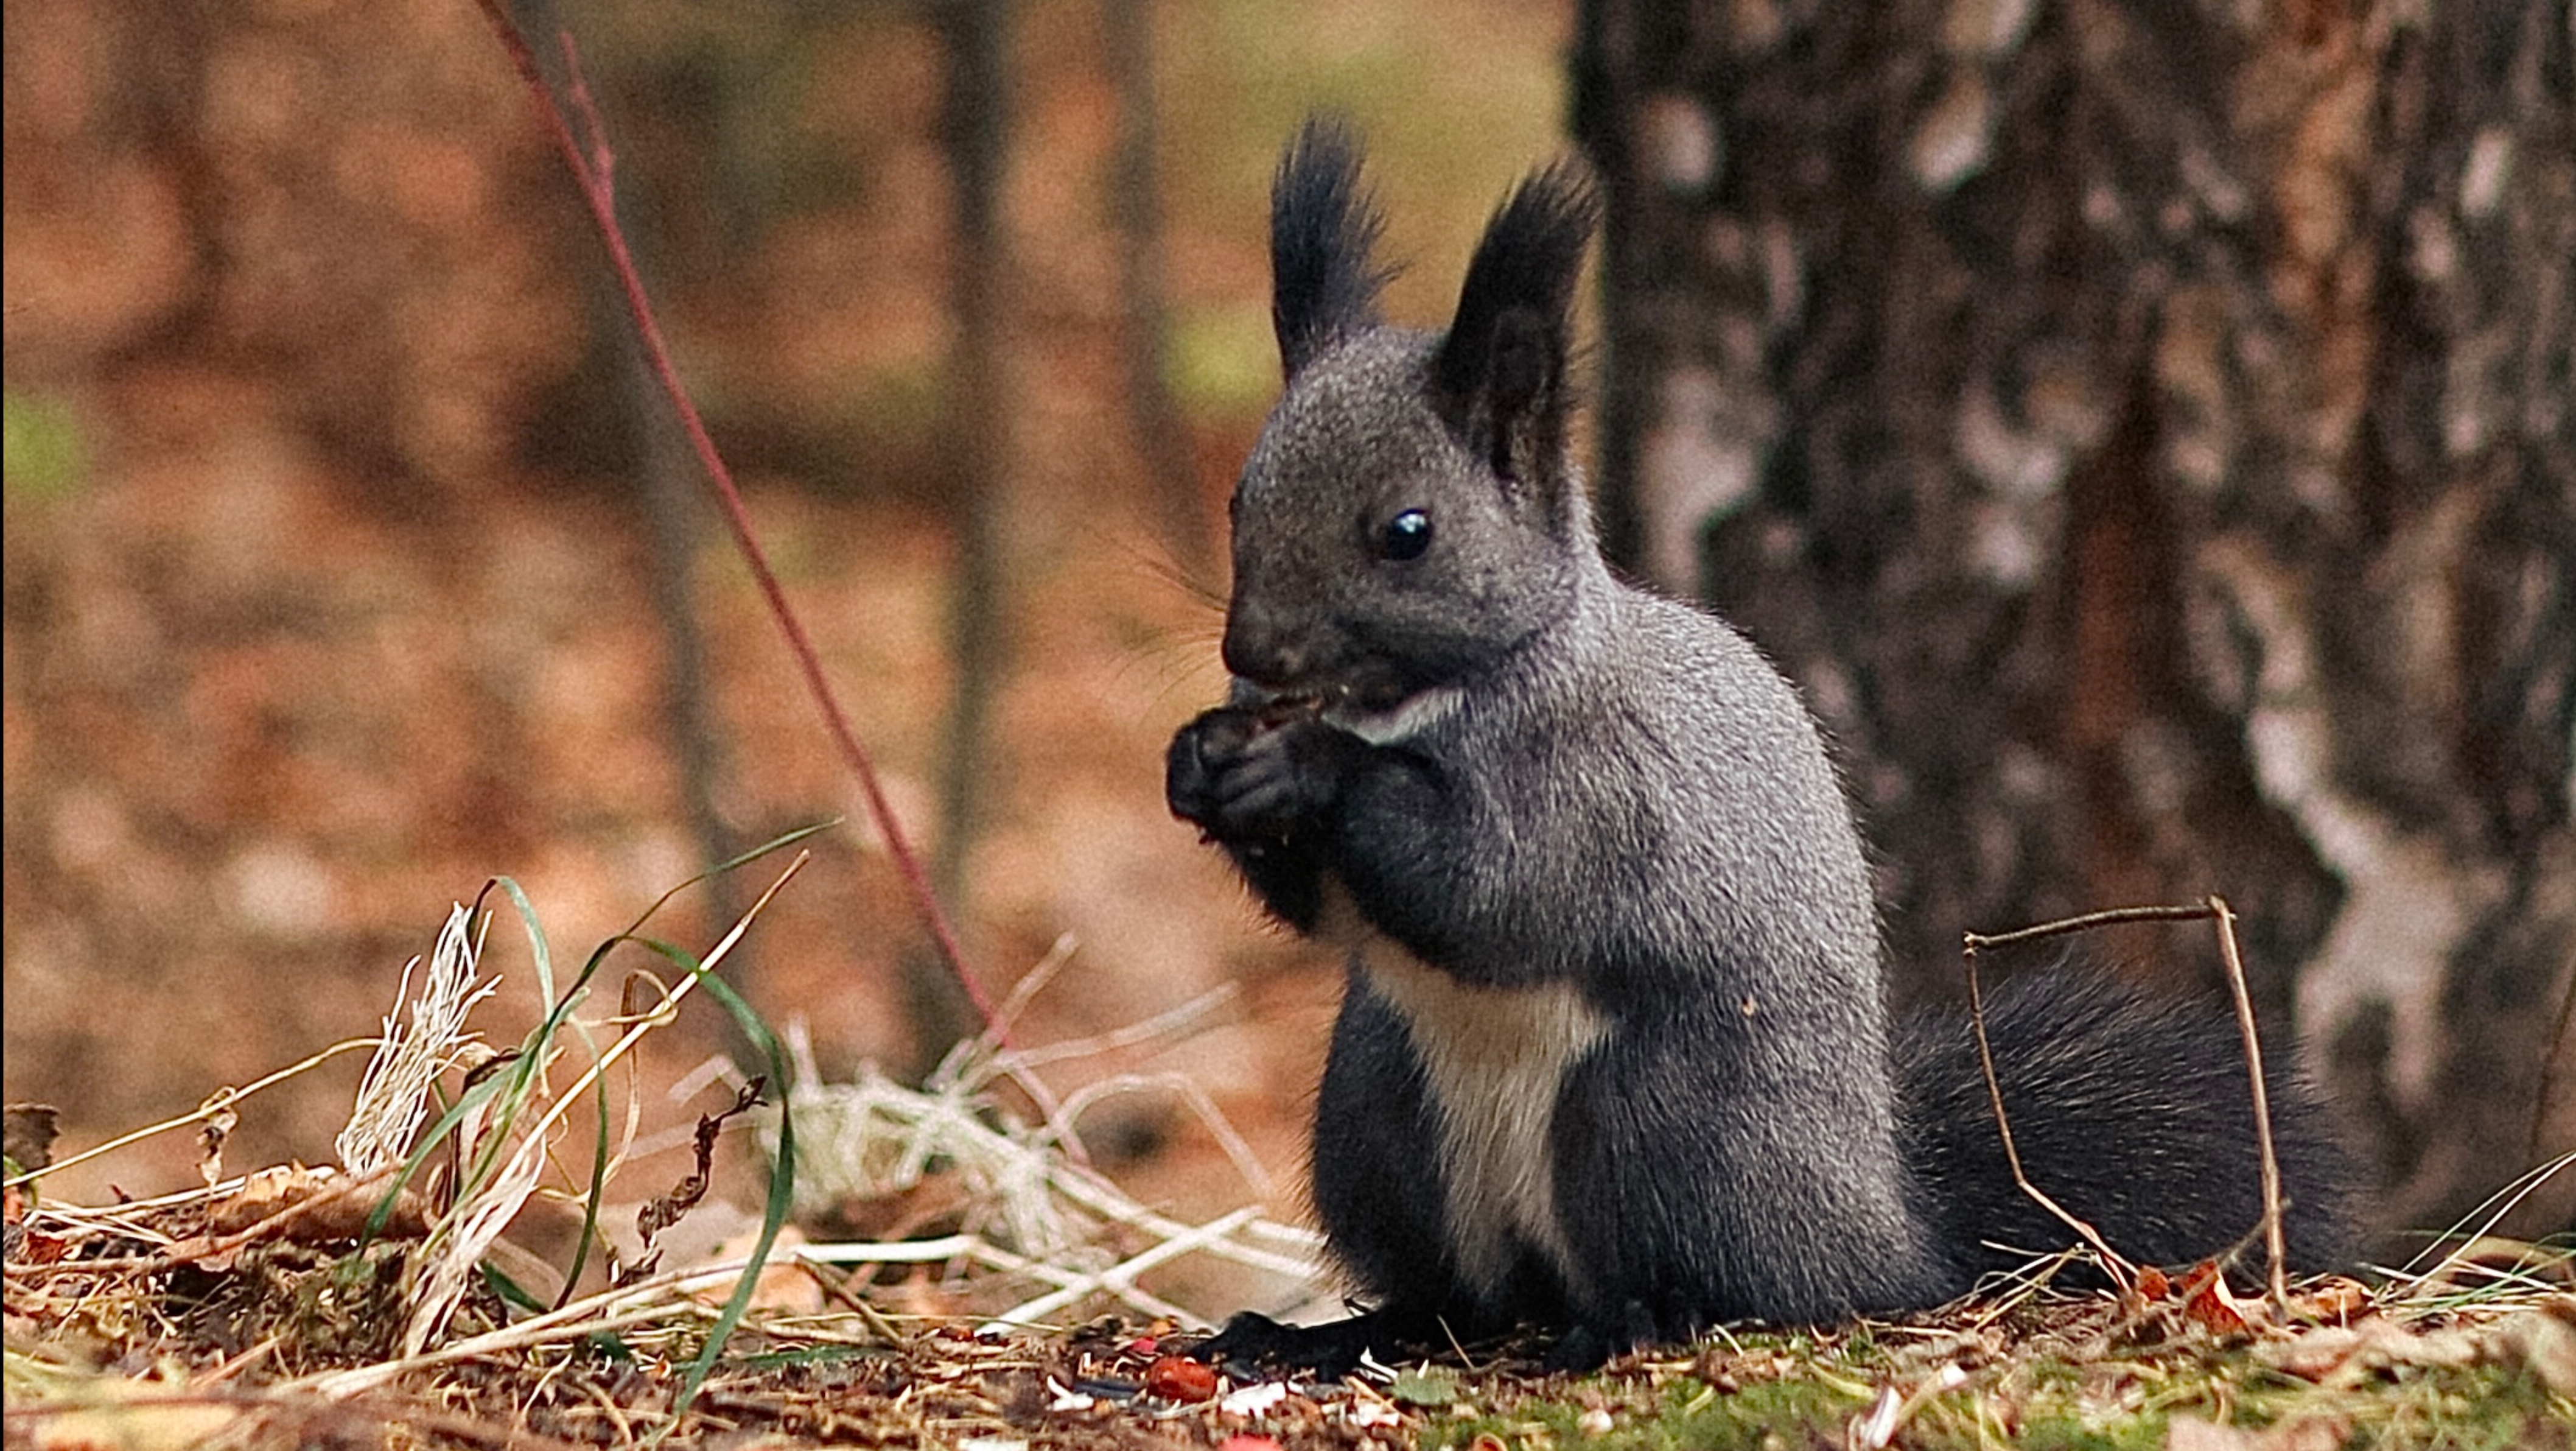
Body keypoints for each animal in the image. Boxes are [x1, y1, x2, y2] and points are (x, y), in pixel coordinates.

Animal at [1169, 119, 2359, 1371]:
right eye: (1241, 497)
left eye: (1407, 531)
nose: (1251, 651)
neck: (1404, 701)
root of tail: (1889, 1228)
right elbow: (1317, 903)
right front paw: (1202, 758)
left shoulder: (1598, 784)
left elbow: (1492, 887)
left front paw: (1306, 769)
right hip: (1378, 1116)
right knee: (1458, 1296)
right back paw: (1328, 1332)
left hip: (1664, 1119)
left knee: (1728, 1278)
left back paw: (1642, 1315)